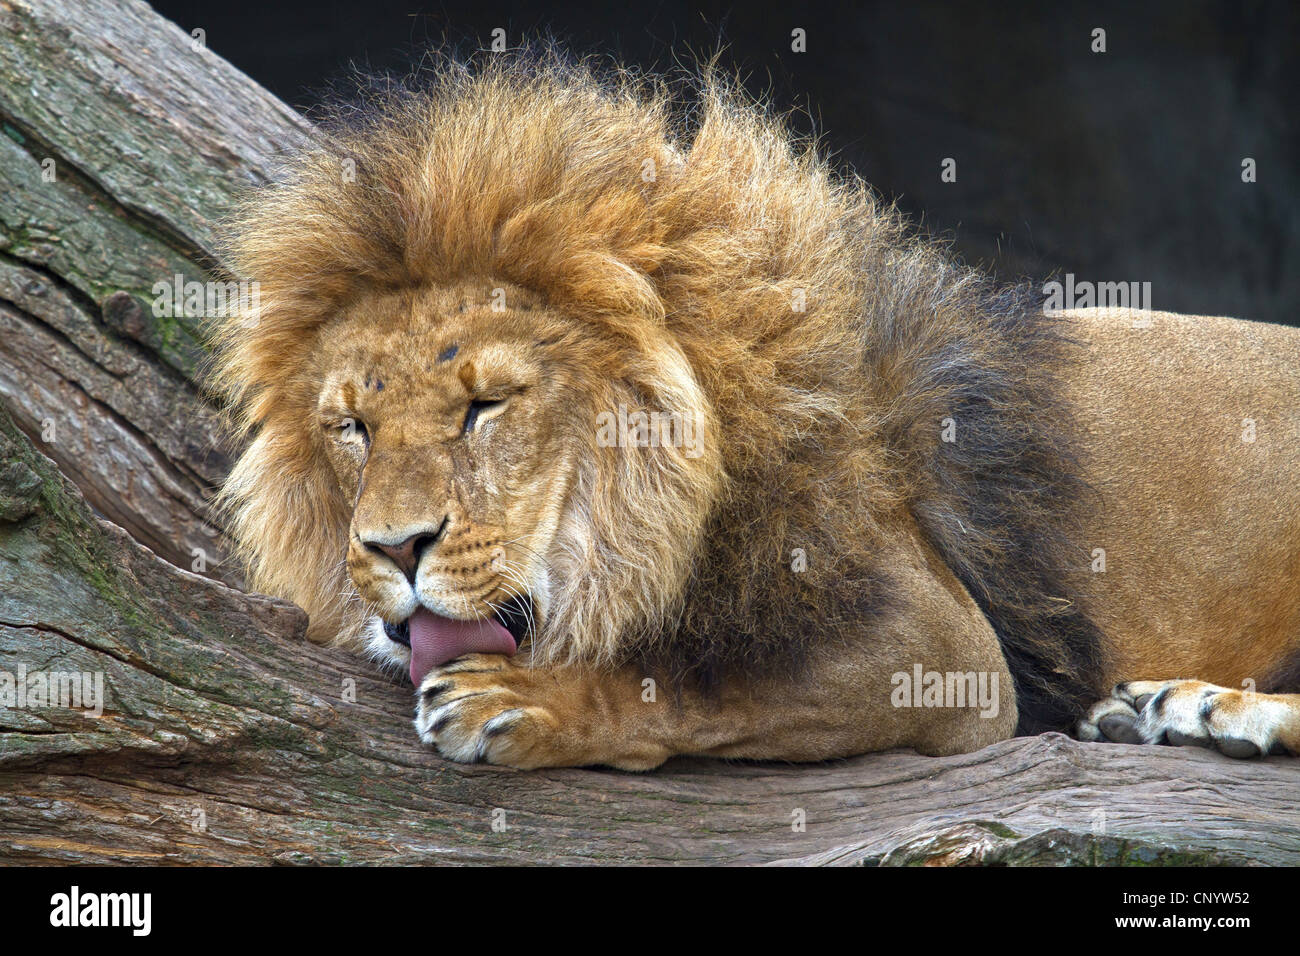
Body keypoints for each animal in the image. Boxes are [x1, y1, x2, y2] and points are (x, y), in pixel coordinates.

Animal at [213, 50, 1300, 770]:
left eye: (486, 406)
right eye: (352, 427)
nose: (393, 549)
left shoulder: (943, 645)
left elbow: (705, 685)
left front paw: (519, 701)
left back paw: (1200, 707)